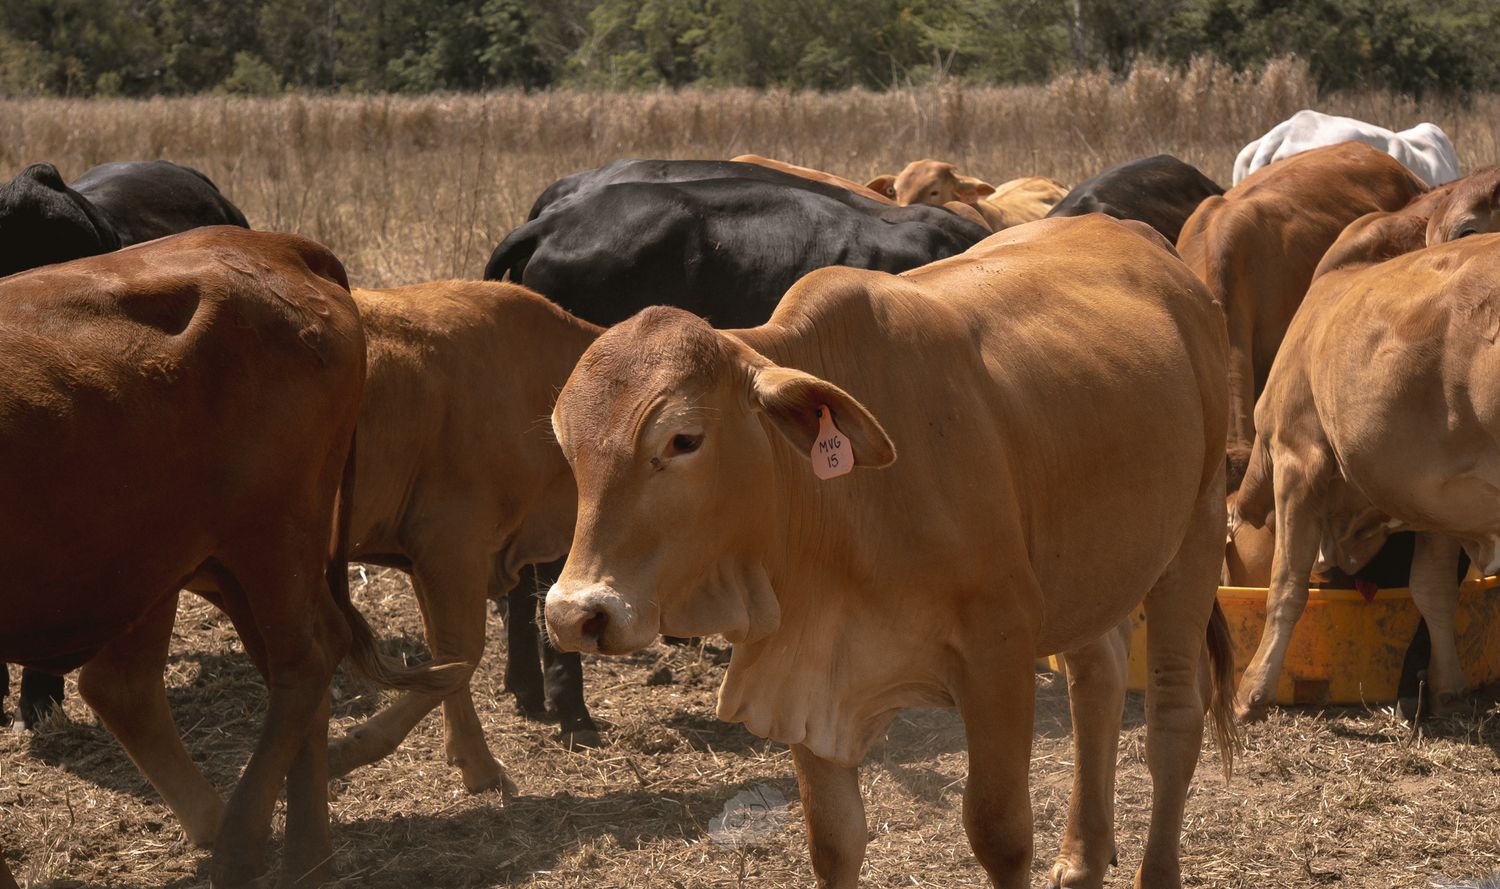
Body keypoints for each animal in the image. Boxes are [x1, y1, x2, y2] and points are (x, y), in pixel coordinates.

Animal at [0, 227, 459, 888]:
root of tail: (274, 244)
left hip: (270, 538)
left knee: (306, 657)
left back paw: (251, 848)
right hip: (188, 560)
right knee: (139, 686)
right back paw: (298, 852)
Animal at [543, 214, 1235, 889]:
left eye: (683, 439)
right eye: (567, 444)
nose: (575, 614)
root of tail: (1156, 247)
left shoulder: (999, 654)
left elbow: (1001, 834)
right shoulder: (807, 674)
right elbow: (835, 842)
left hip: (1196, 535)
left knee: (1175, 717)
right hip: (1091, 574)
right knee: (1098, 683)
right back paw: (1085, 857)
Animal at [1232, 169, 1500, 722]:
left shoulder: (1297, 460)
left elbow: (1285, 587)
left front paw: (1252, 690)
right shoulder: (1438, 496)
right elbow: (1432, 590)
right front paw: (1448, 689)